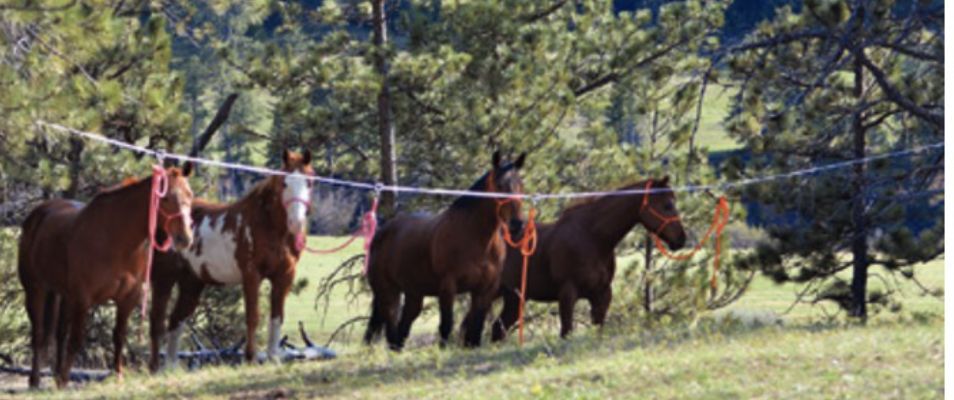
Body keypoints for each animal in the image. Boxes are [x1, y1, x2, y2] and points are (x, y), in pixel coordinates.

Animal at [18, 165, 194, 388]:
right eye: (166, 198)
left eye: (190, 195)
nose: (185, 238)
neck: (116, 240)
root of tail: (38, 213)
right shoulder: (83, 299)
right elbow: (76, 340)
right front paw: (65, 381)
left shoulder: (128, 298)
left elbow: (119, 336)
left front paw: (117, 375)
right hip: (35, 289)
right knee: (39, 333)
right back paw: (36, 380)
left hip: (64, 295)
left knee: (60, 333)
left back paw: (56, 374)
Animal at [148, 149, 314, 371]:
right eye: (284, 183)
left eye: (309, 182)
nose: (296, 223)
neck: (267, 225)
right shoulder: (252, 274)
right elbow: (253, 316)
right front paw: (250, 358)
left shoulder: (284, 276)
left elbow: (277, 316)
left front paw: (273, 357)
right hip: (164, 278)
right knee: (157, 320)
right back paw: (156, 368)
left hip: (192, 283)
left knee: (176, 320)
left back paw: (171, 367)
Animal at [364, 151, 526, 350]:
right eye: (499, 185)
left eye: (521, 185)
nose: (517, 225)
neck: (476, 238)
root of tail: (381, 232)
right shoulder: (448, 286)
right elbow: (446, 325)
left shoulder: (485, 290)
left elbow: (476, 329)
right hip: (388, 292)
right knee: (391, 328)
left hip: (413, 294)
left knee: (402, 329)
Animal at [491, 177, 687, 341]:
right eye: (667, 205)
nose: (682, 239)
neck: (591, 237)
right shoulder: (567, 293)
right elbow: (566, 333)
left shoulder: (602, 294)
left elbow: (597, 329)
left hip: (513, 298)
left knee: (498, 329)